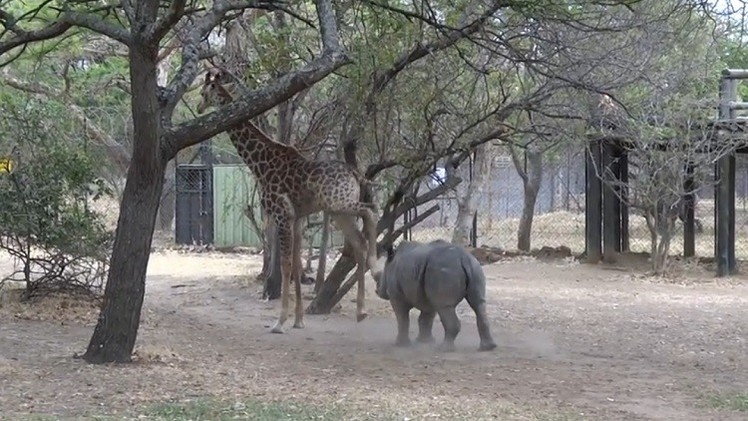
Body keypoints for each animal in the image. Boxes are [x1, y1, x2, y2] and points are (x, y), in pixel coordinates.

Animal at [196, 69, 382, 332]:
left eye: (204, 93)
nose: (199, 107)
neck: (259, 164)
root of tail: (355, 173)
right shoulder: (296, 218)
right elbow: (294, 263)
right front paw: (298, 320)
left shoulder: (282, 214)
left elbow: (285, 266)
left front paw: (280, 321)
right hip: (339, 211)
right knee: (359, 240)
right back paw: (361, 310)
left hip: (340, 203)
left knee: (371, 210)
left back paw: (375, 268)